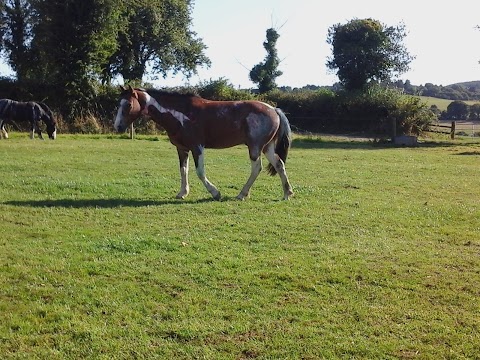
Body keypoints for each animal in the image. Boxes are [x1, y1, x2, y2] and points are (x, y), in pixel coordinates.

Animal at [113, 86, 292, 201]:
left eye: (128, 104)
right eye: (118, 103)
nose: (117, 127)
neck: (181, 113)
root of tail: (274, 109)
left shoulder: (197, 147)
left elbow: (200, 172)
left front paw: (215, 193)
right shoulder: (182, 149)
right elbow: (183, 170)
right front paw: (182, 193)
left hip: (255, 147)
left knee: (256, 168)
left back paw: (242, 194)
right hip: (266, 147)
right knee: (279, 164)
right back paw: (287, 193)